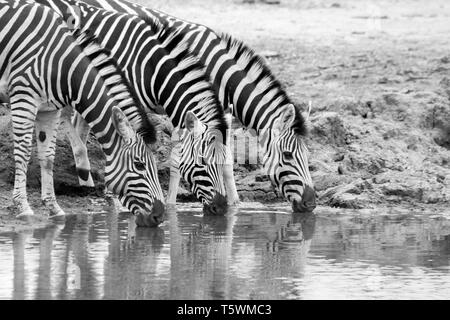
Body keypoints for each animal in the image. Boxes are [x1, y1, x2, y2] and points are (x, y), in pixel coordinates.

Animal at [0, 0, 165, 228]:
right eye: (139, 165)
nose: (159, 216)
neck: (62, 66)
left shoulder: (49, 110)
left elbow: (47, 157)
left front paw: (54, 208)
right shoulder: (24, 98)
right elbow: (23, 152)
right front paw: (23, 207)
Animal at [74, 0, 316, 212]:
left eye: (307, 156)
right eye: (288, 155)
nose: (311, 204)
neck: (219, 72)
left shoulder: (220, 113)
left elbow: (226, 159)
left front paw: (235, 204)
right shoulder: (182, 108)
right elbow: (177, 159)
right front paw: (171, 205)